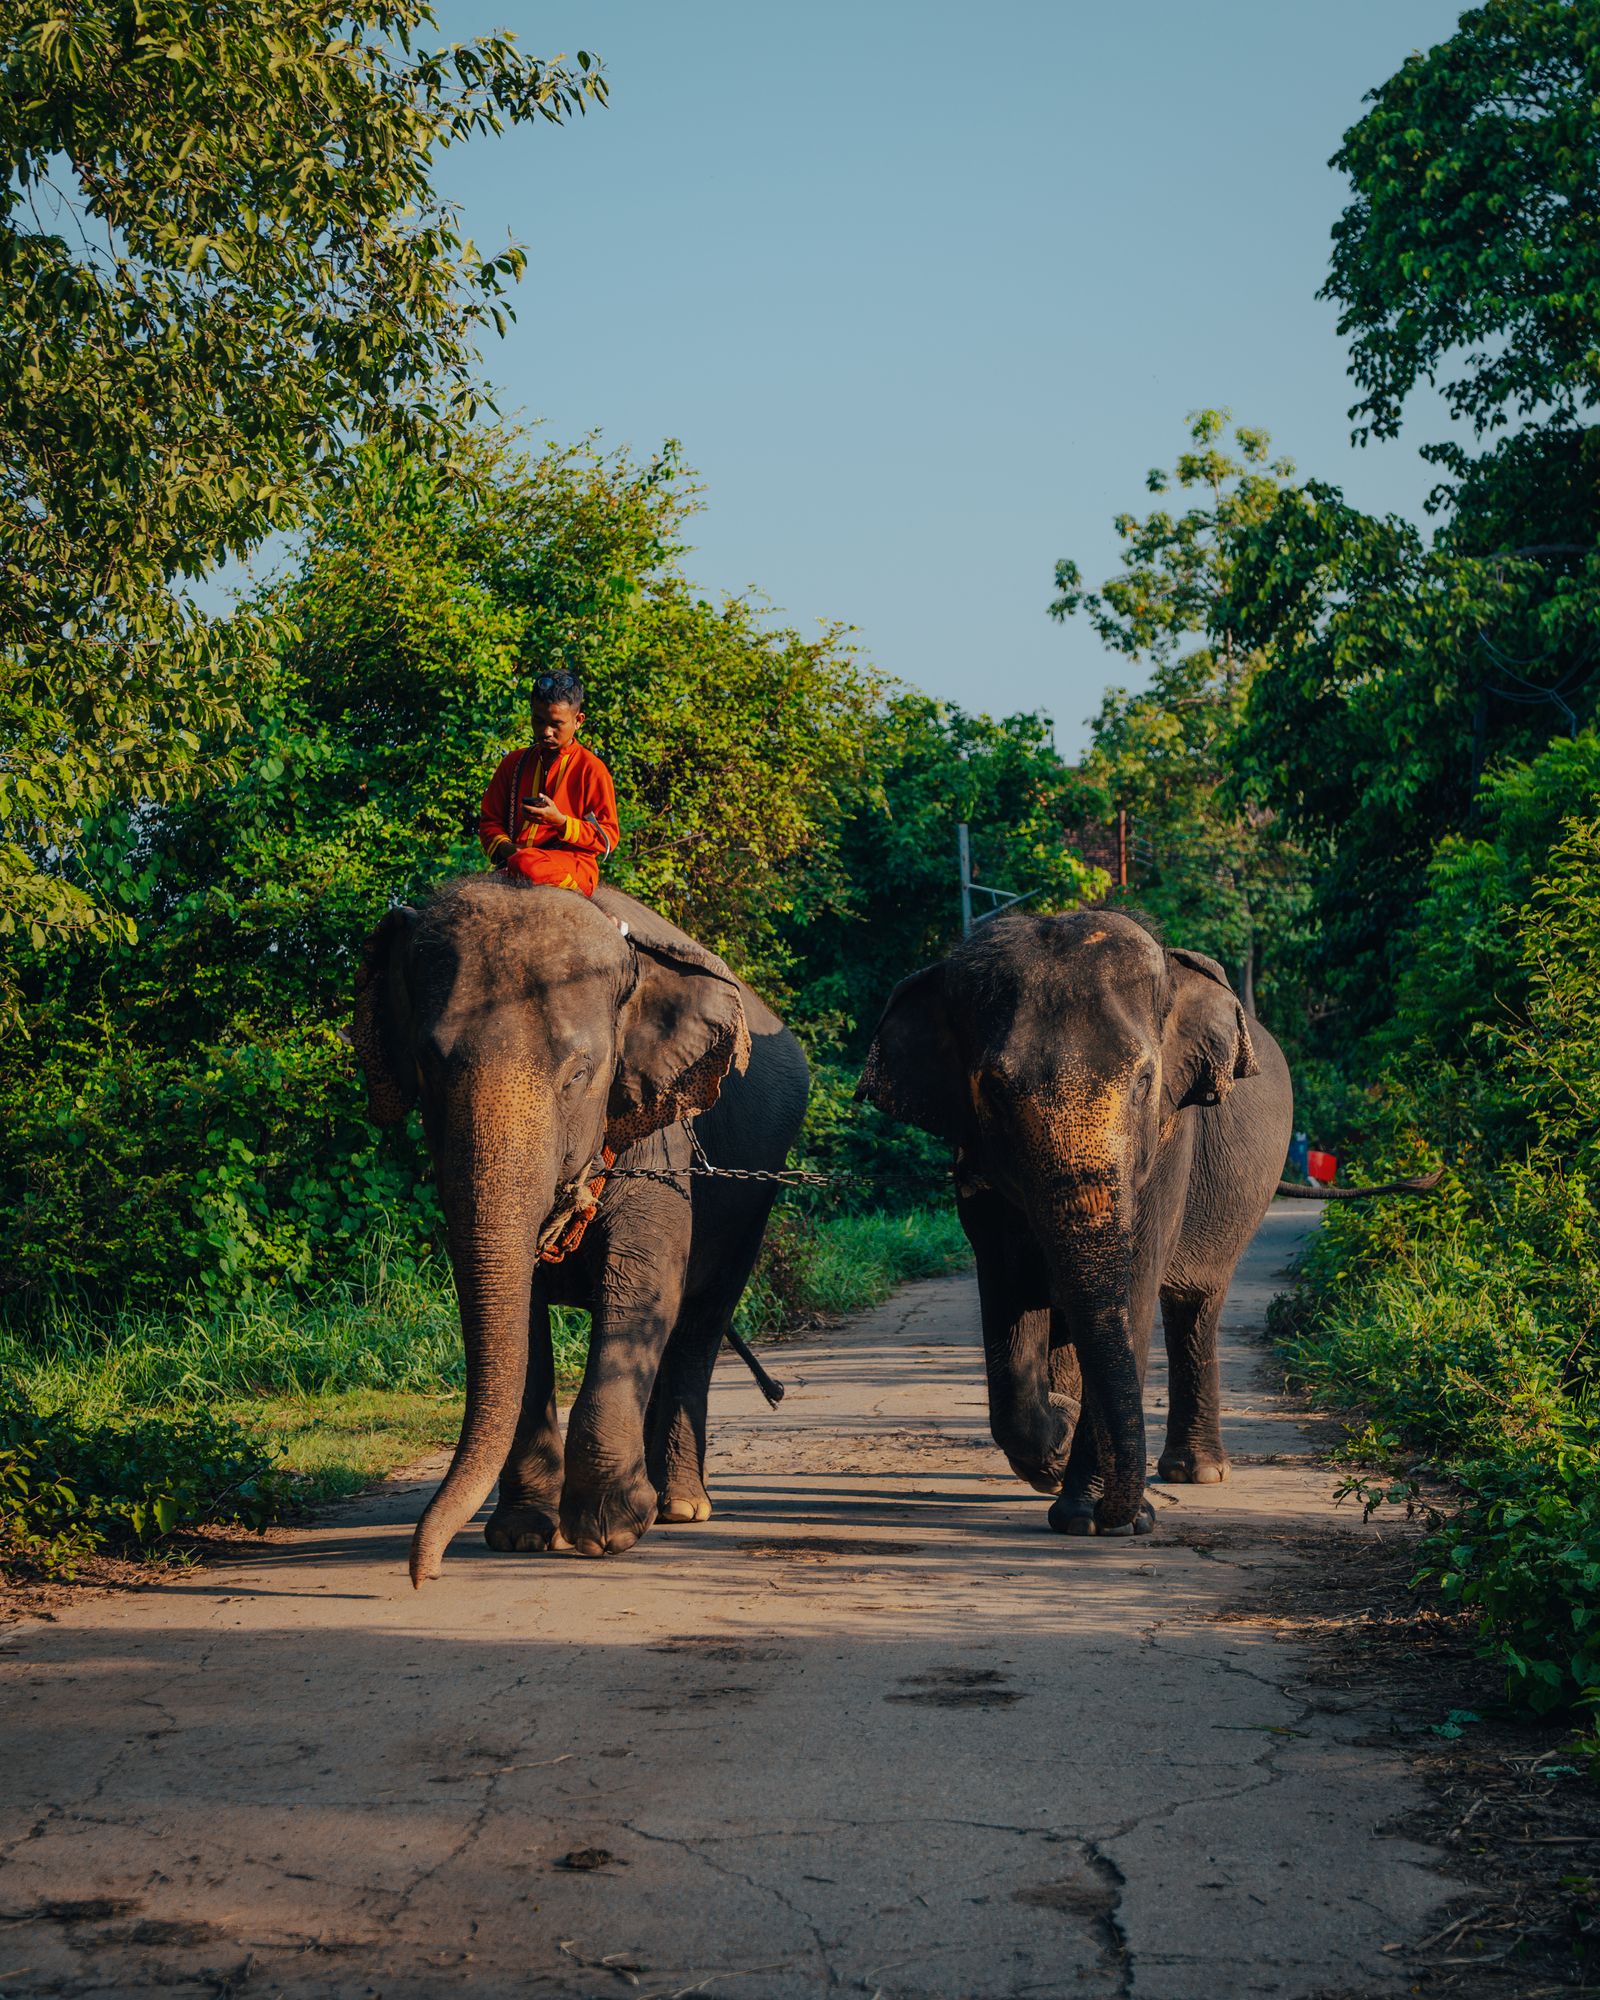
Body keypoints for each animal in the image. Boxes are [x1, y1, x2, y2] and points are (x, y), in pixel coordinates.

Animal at [353, 876, 809, 1581]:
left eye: (578, 1075)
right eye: (428, 1066)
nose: (424, 1573)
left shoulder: (662, 1141)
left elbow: (642, 1285)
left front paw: (606, 1533)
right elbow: (515, 1310)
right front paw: (519, 1535)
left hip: (756, 1194)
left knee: (699, 1325)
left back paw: (681, 1507)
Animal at [856, 907, 1292, 1538]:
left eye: (1143, 1082)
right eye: (994, 1091)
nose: (1132, 1520)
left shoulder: (1169, 1140)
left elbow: (1132, 1290)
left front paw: (1090, 1516)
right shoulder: (973, 1159)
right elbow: (1007, 1285)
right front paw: (1059, 1446)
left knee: (1196, 1306)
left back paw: (1196, 1473)